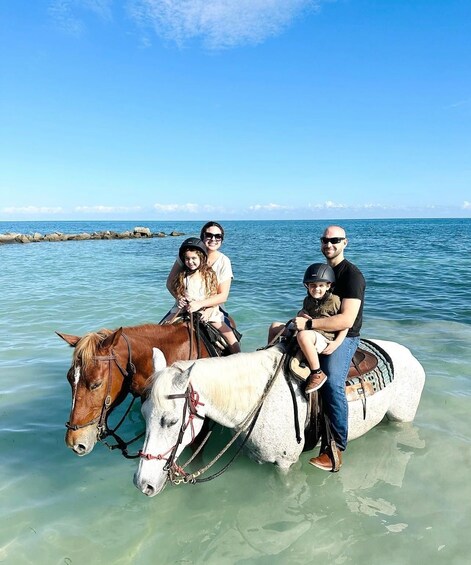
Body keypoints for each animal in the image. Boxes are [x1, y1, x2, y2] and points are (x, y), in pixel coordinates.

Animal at [135, 340, 426, 494]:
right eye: (143, 415)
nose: (142, 484)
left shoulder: (285, 464)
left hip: (401, 419)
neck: (257, 398)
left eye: (171, 421)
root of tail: (409, 354)